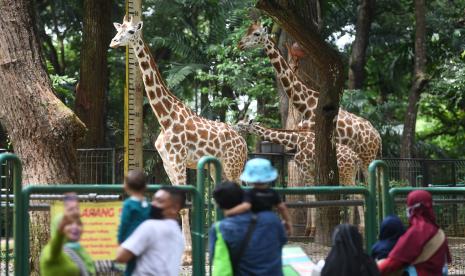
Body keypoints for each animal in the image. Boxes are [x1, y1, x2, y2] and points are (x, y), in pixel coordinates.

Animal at [109, 16, 248, 262]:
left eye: (132, 31)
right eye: (119, 29)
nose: (113, 42)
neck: (165, 118)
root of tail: (244, 143)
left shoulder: (179, 160)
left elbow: (184, 205)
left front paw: (187, 256)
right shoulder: (167, 163)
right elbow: (178, 204)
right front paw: (186, 253)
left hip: (234, 166)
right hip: (217, 169)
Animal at [234, 119, 364, 234]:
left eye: (240, 124)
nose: (234, 127)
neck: (295, 140)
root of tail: (356, 158)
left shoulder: (305, 169)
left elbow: (311, 196)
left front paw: (312, 230)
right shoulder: (308, 171)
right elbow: (308, 196)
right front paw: (308, 229)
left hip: (345, 174)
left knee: (357, 194)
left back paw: (362, 226)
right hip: (351, 174)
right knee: (355, 194)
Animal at [237, 22, 382, 180]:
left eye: (256, 34)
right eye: (247, 31)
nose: (240, 44)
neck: (305, 104)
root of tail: (378, 136)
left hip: (367, 156)